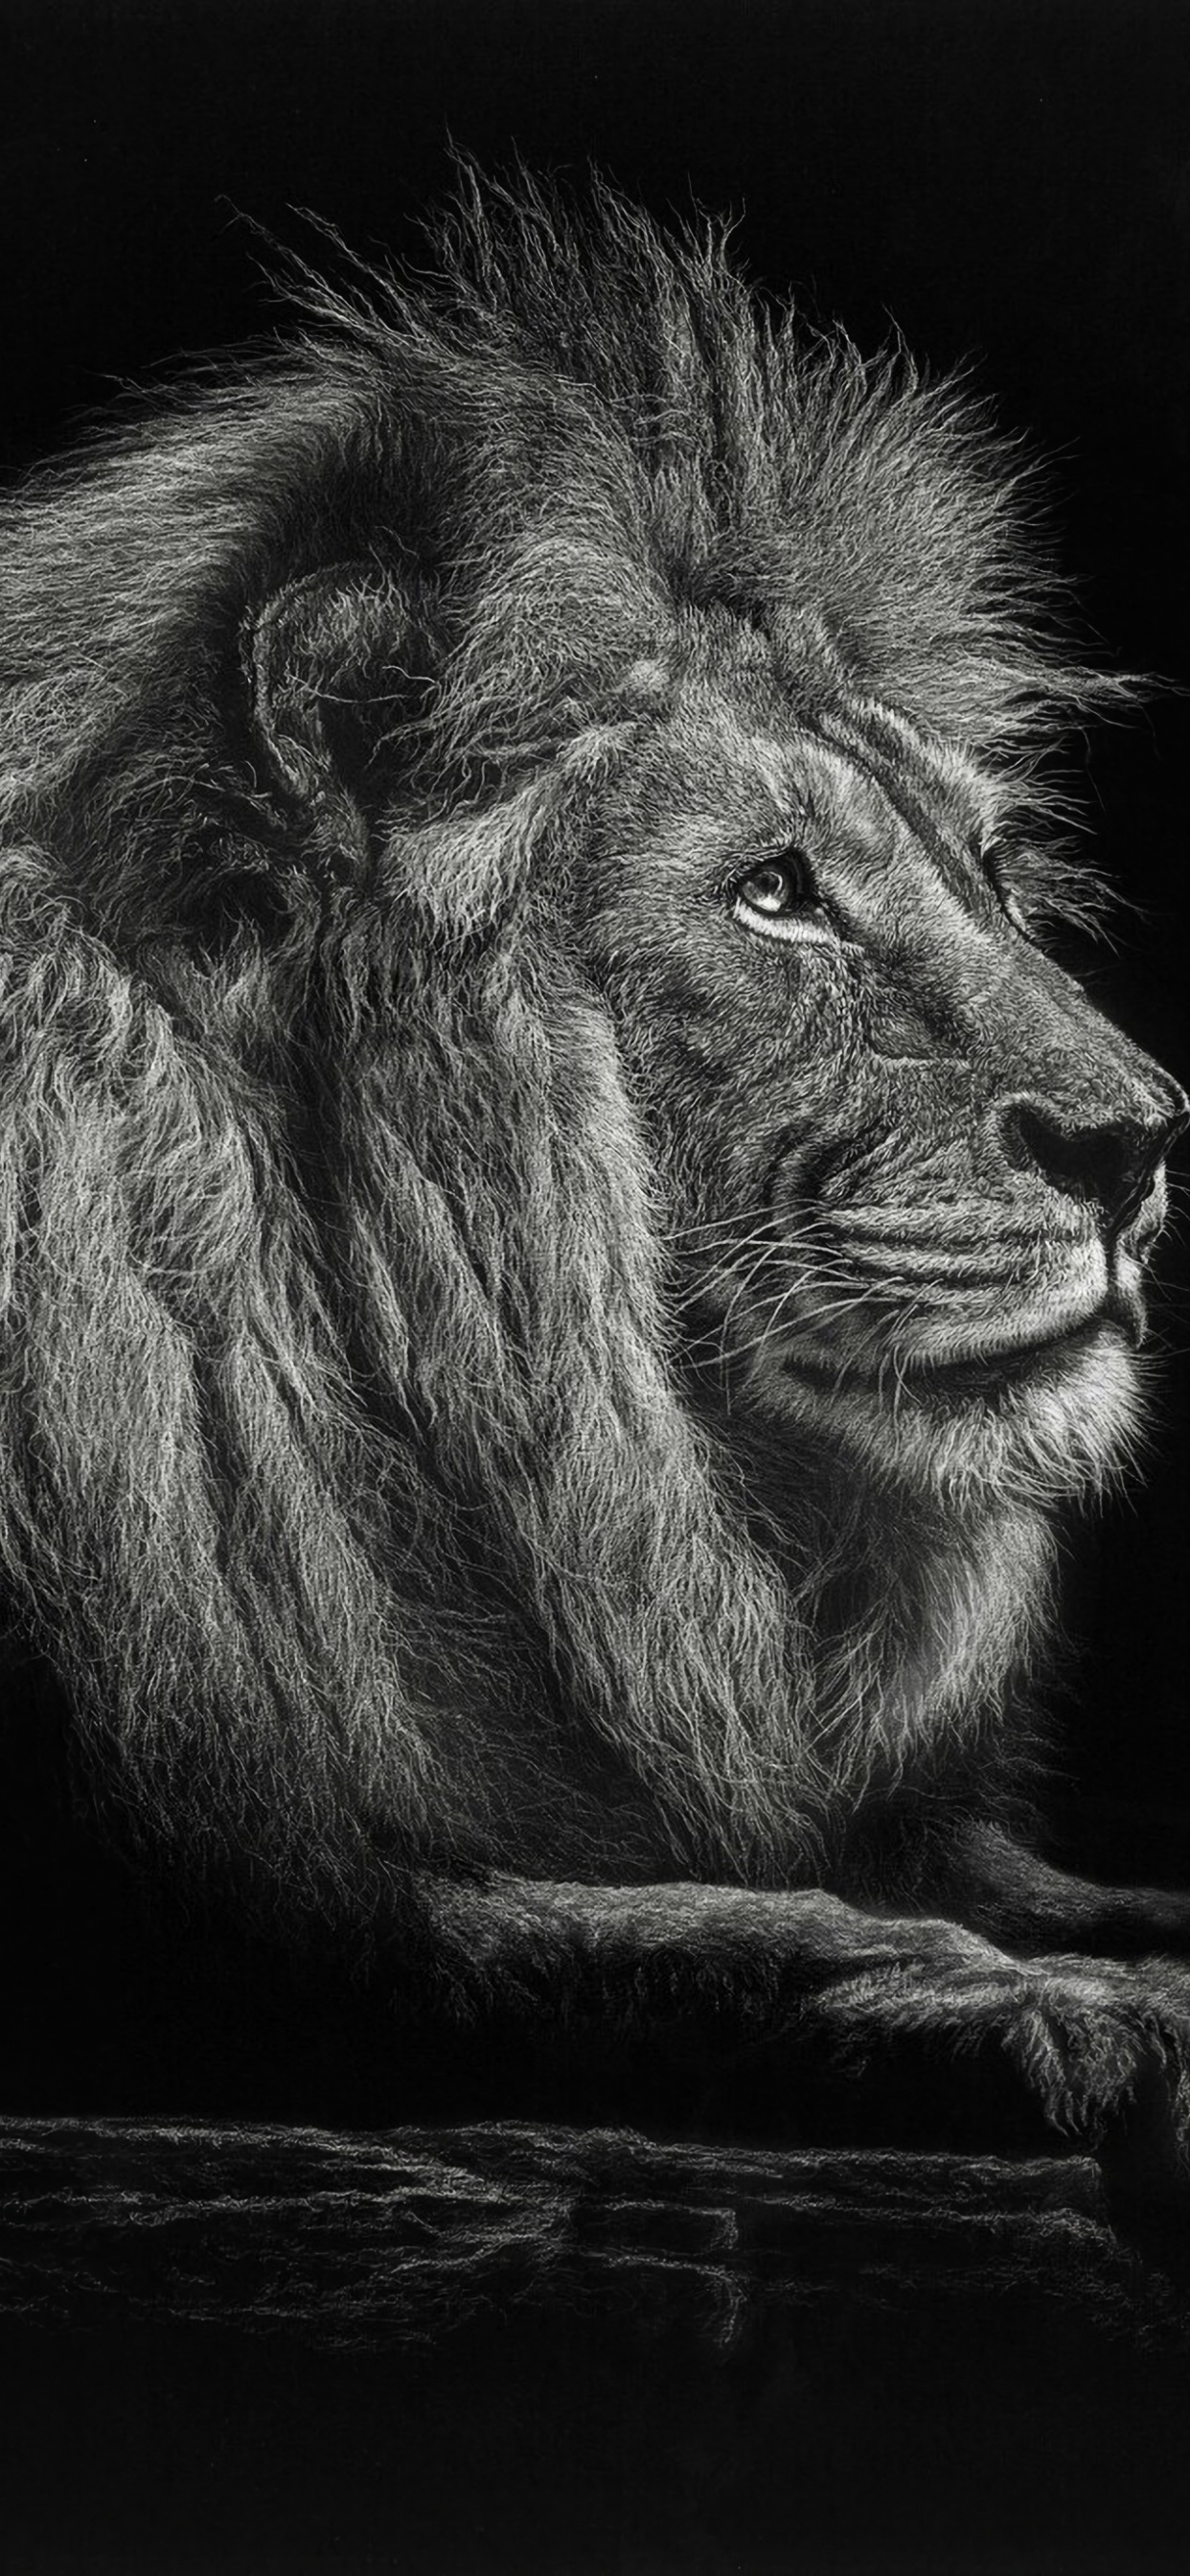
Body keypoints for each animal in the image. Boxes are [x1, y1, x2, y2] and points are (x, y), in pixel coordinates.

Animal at [1, 171, 1188, 2149]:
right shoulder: (248, 1914)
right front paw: (1031, 2006)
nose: (1140, 1140)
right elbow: (645, 1937)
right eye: (773, 893)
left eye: (992, 872)